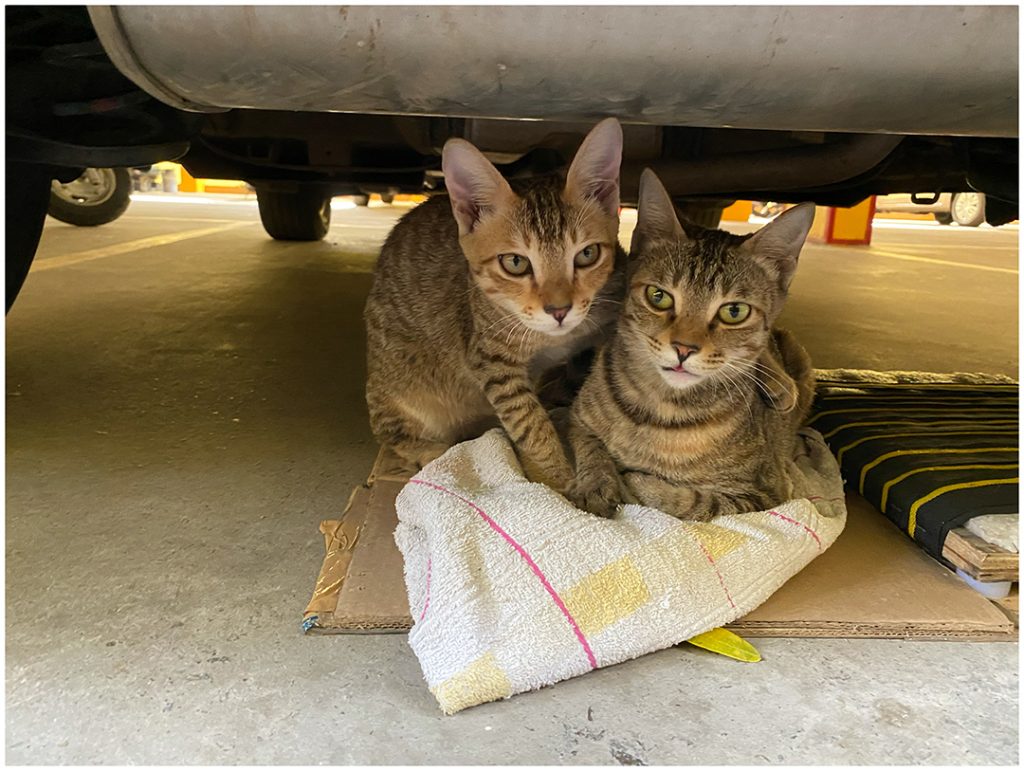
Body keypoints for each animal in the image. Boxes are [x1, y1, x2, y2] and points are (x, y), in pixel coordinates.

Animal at [364, 117, 626, 489]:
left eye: (587, 254)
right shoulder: (490, 359)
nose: (559, 310)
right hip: (399, 392)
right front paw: (557, 483)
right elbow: (529, 423)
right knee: (392, 433)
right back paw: (433, 452)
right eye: (515, 263)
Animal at [569, 167, 815, 518]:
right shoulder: (578, 419)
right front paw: (597, 484)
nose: (684, 349)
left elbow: (697, 503)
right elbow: (590, 447)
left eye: (734, 311)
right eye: (658, 296)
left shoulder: (767, 491)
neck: (660, 411)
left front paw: (637, 482)